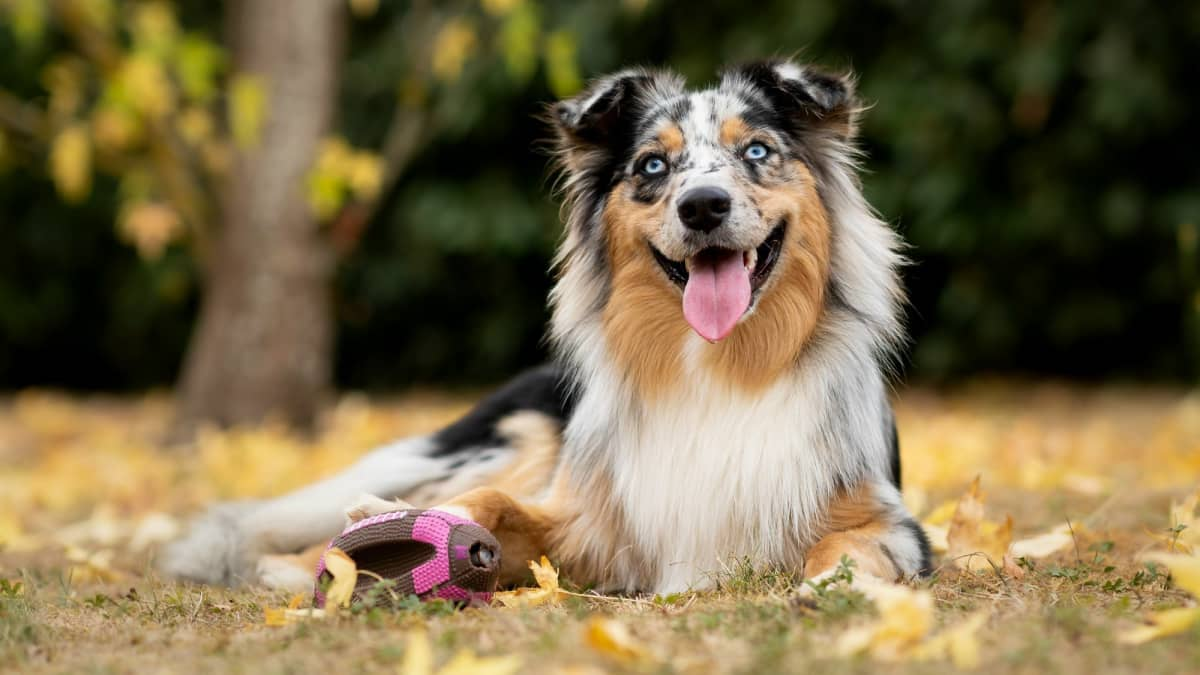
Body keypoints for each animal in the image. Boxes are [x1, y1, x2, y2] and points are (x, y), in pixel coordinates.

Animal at [162, 59, 926, 593]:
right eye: (653, 165)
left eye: (758, 152)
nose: (703, 205)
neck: (720, 365)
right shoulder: (587, 523)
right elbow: (495, 507)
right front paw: (397, 531)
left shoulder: (888, 518)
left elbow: (853, 546)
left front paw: (838, 586)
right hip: (508, 438)